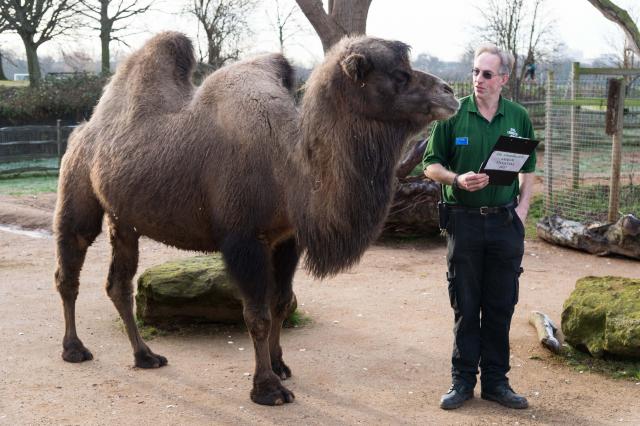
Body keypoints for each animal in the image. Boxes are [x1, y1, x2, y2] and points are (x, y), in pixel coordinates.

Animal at [52, 31, 458, 404]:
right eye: (399, 75)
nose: (449, 93)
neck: (288, 168)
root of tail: (83, 128)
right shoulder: (244, 239)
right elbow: (256, 315)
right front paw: (268, 388)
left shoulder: (287, 238)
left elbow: (281, 302)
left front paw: (279, 365)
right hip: (77, 184)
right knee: (70, 264)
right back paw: (74, 349)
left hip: (125, 219)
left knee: (118, 284)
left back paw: (145, 356)